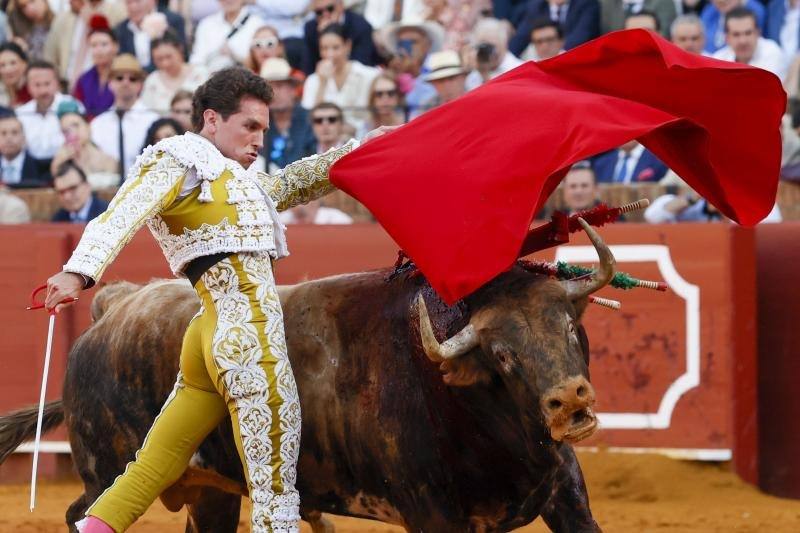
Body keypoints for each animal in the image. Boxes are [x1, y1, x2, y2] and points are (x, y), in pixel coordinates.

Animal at [1, 219, 612, 528]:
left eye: (568, 326)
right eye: (502, 354)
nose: (570, 399)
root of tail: (112, 309)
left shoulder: (566, 490)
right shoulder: (432, 510)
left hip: (212, 489)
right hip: (109, 467)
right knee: (85, 510)